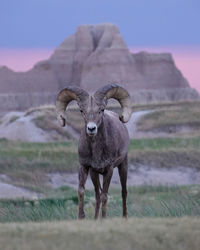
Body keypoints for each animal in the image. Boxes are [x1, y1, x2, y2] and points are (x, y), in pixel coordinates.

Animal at [55, 83, 132, 218]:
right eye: (82, 111)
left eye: (101, 110)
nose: (91, 128)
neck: (96, 151)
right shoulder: (85, 167)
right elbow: (81, 191)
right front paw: (81, 217)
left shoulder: (109, 169)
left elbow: (105, 196)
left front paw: (103, 219)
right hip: (94, 174)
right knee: (97, 195)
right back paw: (95, 219)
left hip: (123, 166)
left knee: (123, 192)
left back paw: (124, 218)